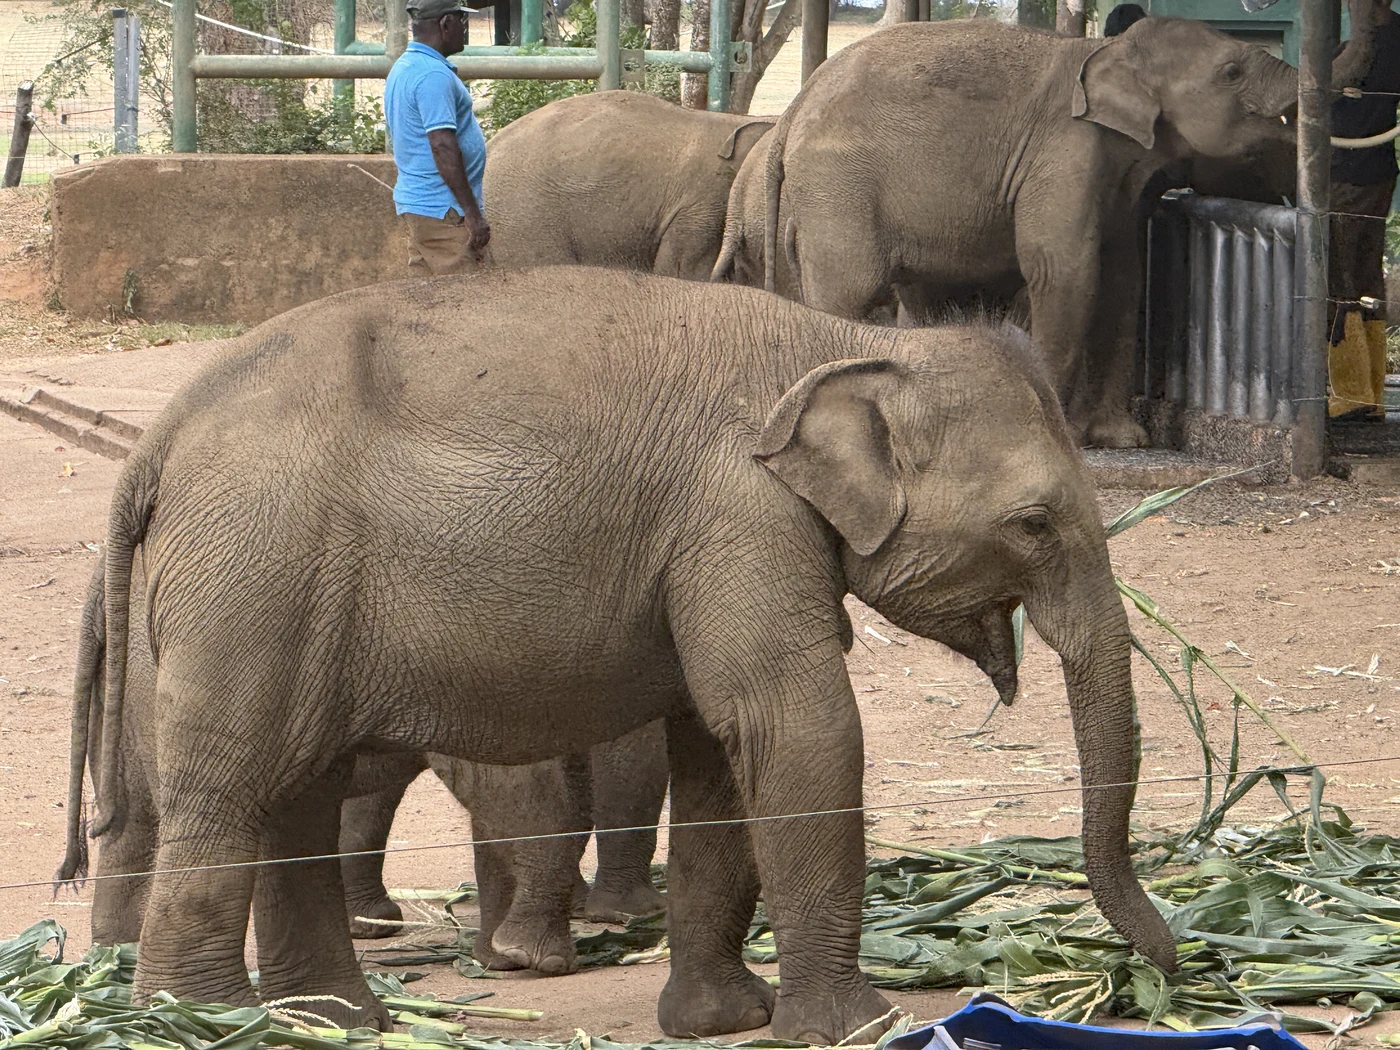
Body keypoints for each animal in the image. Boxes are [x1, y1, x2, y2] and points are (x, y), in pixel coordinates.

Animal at [59, 556, 667, 979]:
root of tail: (97, 586)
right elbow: (523, 785)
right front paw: (542, 957)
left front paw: (503, 959)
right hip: (159, 684)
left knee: (132, 824)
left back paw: (119, 960)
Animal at [712, 17, 1303, 448]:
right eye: (1232, 71)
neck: (1105, 50)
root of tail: (791, 114)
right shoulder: (1063, 153)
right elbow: (1063, 270)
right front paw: (1065, 434)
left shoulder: (1114, 176)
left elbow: (1122, 277)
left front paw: (1121, 440)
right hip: (837, 192)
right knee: (847, 295)